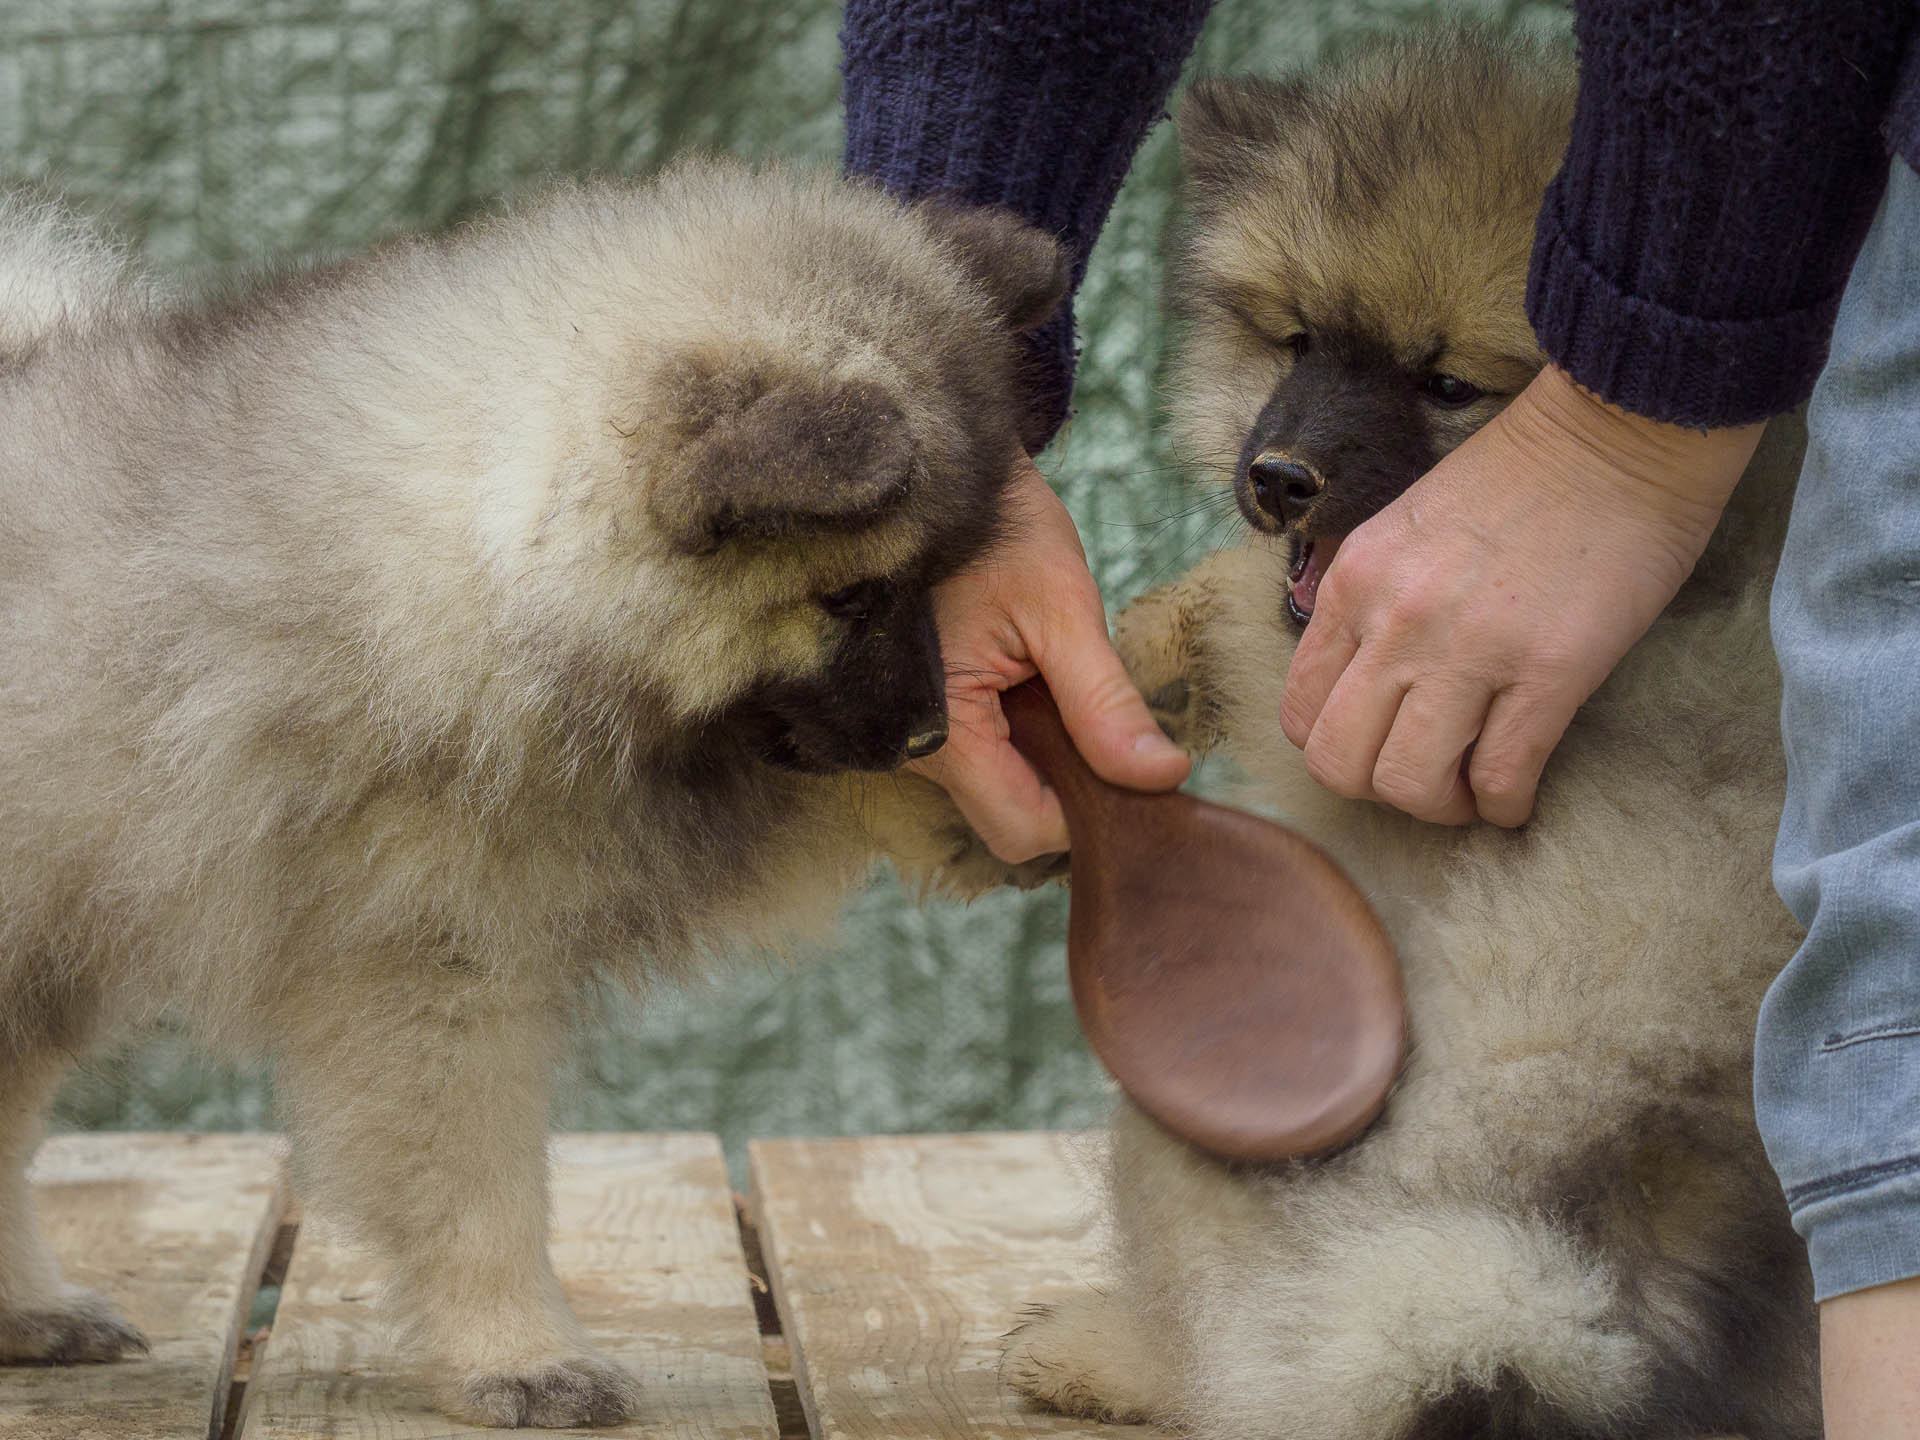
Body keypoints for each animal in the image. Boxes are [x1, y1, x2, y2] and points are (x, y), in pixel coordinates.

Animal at [0, 166, 1067, 1436]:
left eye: (937, 584)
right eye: (855, 596)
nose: (929, 733)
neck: (470, 550)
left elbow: (807, 783)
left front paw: (969, 810)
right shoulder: (434, 973)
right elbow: (480, 1194)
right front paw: (519, 1353)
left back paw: (28, 1309)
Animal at [998, 33, 1820, 1440]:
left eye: (1447, 385)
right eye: (1297, 339)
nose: (1278, 478)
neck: (1700, 555)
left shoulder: (1383, 710)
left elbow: (1249, 619)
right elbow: (1232, 594)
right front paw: (1143, 653)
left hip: (1218, 1131)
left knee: (1246, 1356)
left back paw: (1105, 1353)